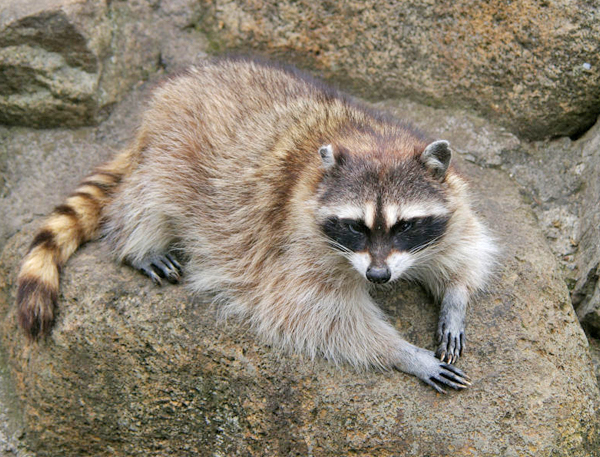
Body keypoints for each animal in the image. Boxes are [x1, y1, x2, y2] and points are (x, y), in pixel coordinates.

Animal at [18, 57, 496, 392]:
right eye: (356, 227)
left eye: (404, 226)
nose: (378, 276)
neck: (370, 138)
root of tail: (165, 96)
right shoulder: (295, 242)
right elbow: (318, 316)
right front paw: (403, 353)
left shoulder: (449, 198)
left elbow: (464, 245)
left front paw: (455, 297)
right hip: (172, 152)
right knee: (147, 197)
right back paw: (139, 242)